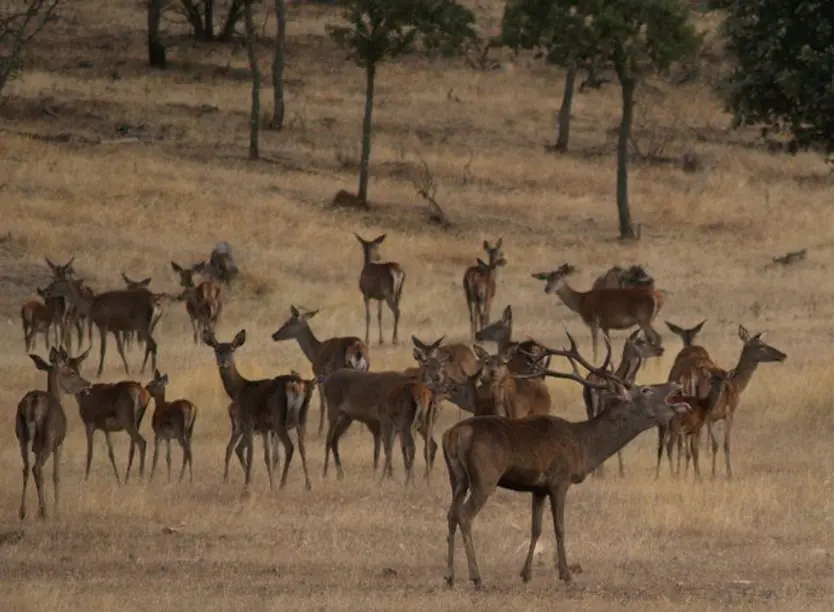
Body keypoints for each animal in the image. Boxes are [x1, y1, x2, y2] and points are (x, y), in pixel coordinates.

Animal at [16, 347, 92, 520]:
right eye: (72, 371)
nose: (88, 384)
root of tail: (34, 403)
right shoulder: (59, 443)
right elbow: (56, 475)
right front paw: (57, 510)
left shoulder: (36, 448)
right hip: (49, 439)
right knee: (37, 468)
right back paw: (44, 512)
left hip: (23, 436)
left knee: (26, 467)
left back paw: (23, 512)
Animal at [63, 347, 151, 484]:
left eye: (71, 370)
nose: (66, 389)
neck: (82, 396)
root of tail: (142, 392)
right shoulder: (106, 429)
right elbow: (111, 453)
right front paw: (118, 480)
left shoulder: (89, 426)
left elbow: (90, 453)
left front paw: (85, 479)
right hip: (137, 422)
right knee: (132, 448)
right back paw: (127, 478)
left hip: (128, 422)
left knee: (142, 442)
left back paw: (140, 478)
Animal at [202, 329, 313, 493]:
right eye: (217, 349)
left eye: (232, 349)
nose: (224, 362)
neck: (239, 389)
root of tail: (295, 385)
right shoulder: (265, 428)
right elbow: (267, 456)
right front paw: (270, 485)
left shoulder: (248, 421)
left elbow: (251, 454)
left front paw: (247, 486)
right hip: (302, 417)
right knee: (302, 447)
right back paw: (307, 485)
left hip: (278, 419)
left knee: (289, 446)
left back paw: (283, 484)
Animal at [271, 305, 370, 436]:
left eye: (288, 322)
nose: (274, 335)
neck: (317, 351)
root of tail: (358, 348)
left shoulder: (320, 378)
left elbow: (323, 404)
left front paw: (320, 430)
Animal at [531, 263, 665, 362]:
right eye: (547, 278)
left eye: (559, 277)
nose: (547, 289)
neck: (580, 302)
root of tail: (657, 298)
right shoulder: (605, 326)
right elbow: (608, 348)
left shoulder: (593, 321)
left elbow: (595, 345)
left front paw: (594, 362)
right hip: (647, 319)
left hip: (643, 318)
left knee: (656, 338)